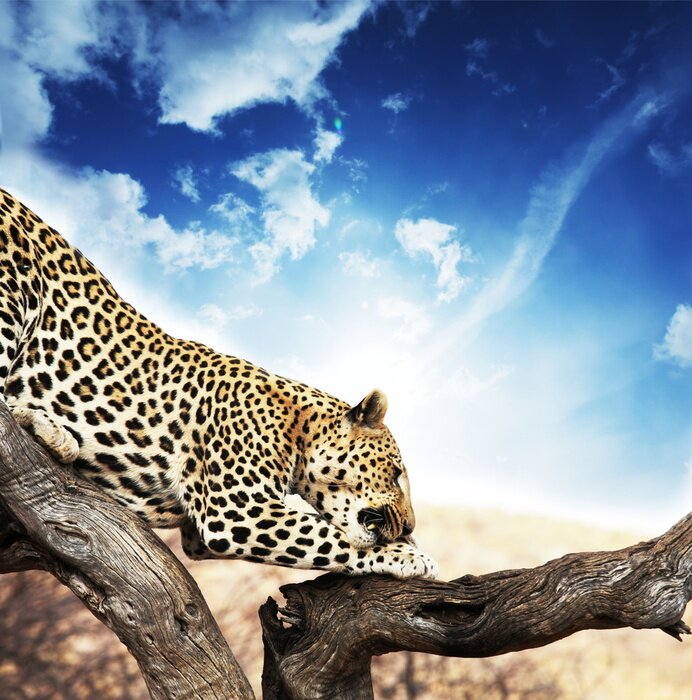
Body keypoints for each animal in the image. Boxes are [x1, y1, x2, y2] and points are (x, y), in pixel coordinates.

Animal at [0, 189, 438, 579]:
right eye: (396, 473)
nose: (411, 526)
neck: (298, 426)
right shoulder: (237, 511)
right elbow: (331, 536)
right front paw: (412, 556)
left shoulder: (198, 532)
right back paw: (50, 430)